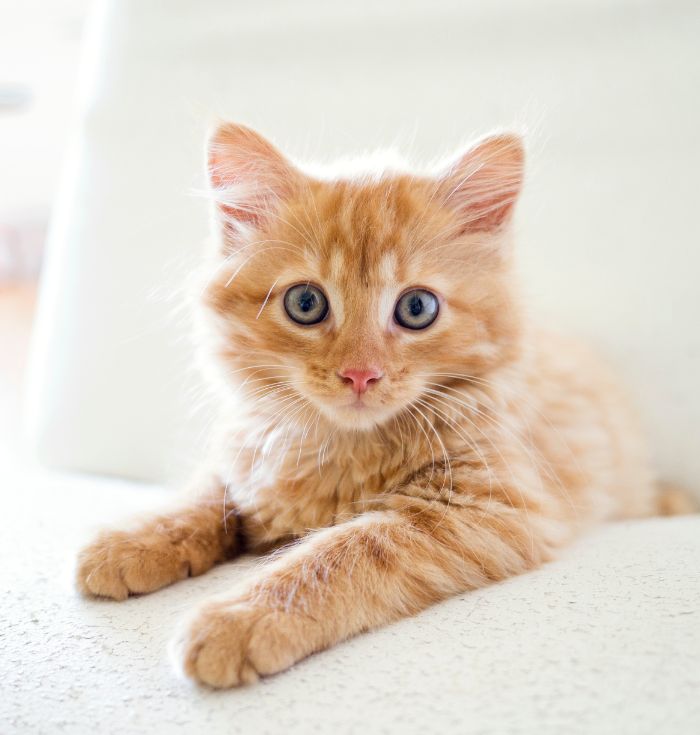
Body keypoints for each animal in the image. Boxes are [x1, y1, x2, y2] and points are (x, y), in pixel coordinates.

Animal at [76, 122, 672, 688]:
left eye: (417, 308)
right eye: (306, 303)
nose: (360, 374)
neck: (342, 447)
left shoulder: (488, 505)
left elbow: (345, 549)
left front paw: (241, 619)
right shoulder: (248, 451)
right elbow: (206, 493)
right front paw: (133, 539)